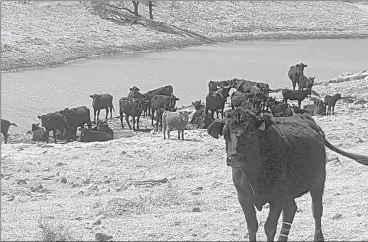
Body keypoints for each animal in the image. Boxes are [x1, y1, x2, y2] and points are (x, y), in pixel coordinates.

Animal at [207, 108, 368, 242]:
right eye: (225, 134)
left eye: (251, 132)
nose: (234, 157)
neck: (254, 174)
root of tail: (306, 118)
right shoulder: (243, 198)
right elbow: (252, 227)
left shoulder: (277, 197)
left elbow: (269, 227)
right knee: (291, 209)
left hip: (318, 180)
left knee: (316, 209)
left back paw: (318, 237)